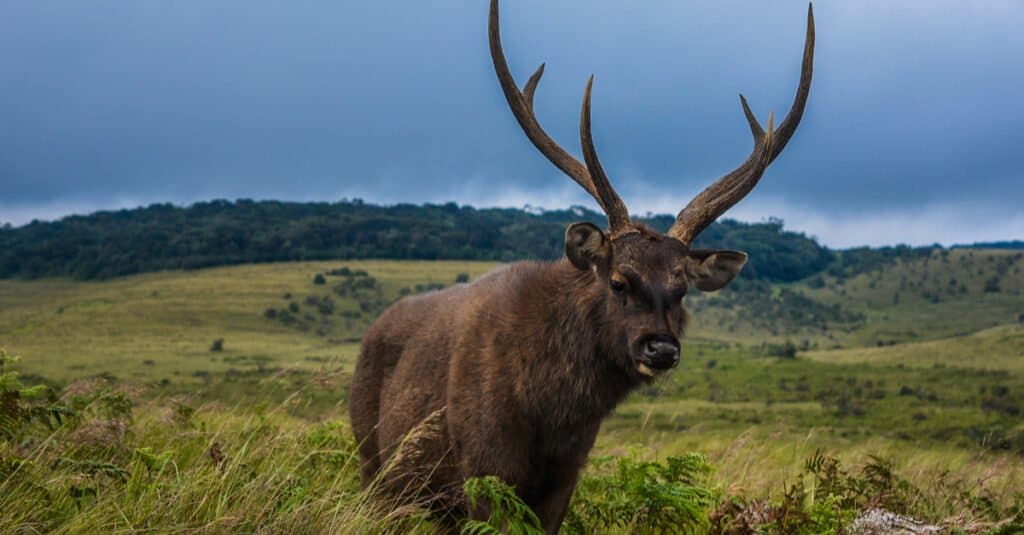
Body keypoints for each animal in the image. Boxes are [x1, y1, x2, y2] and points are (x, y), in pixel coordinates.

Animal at [352, 1, 815, 528]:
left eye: (682, 290)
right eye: (618, 281)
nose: (661, 348)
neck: (550, 411)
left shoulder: (567, 473)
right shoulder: (483, 468)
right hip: (373, 463)